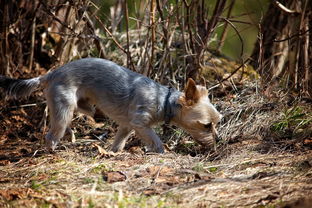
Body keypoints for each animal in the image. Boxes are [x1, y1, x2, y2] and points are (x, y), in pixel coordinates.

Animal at [0, 57, 222, 152]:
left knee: (80, 112)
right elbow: (156, 140)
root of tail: (51, 74)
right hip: (63, 106)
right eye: (206, 125)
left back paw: (78, 129)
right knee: (52, 134)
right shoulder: (140, 123)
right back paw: (52, 150)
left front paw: (113, 152)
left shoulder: (127, 125)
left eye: (217, 122)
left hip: (77, 104)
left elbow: (119, 141)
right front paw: (160, 152)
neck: (165, 100)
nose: (218, 140)